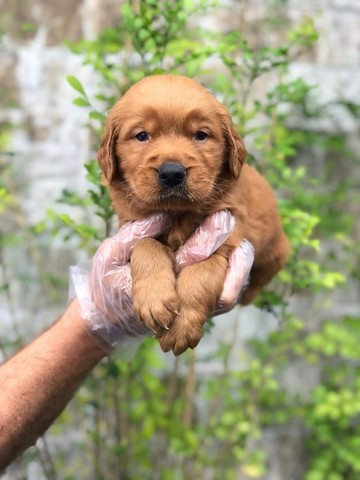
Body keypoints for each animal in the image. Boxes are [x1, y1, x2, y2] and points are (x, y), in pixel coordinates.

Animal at [96, 74, 290, 352]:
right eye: (142, 135)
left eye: (201, 135)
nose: (172, 173)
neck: (178, 213)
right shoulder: (133, 224)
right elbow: (145, 246)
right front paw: (155, 300)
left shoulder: (227, 232)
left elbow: (201, 271)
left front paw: (182, 326)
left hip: (275, 249)